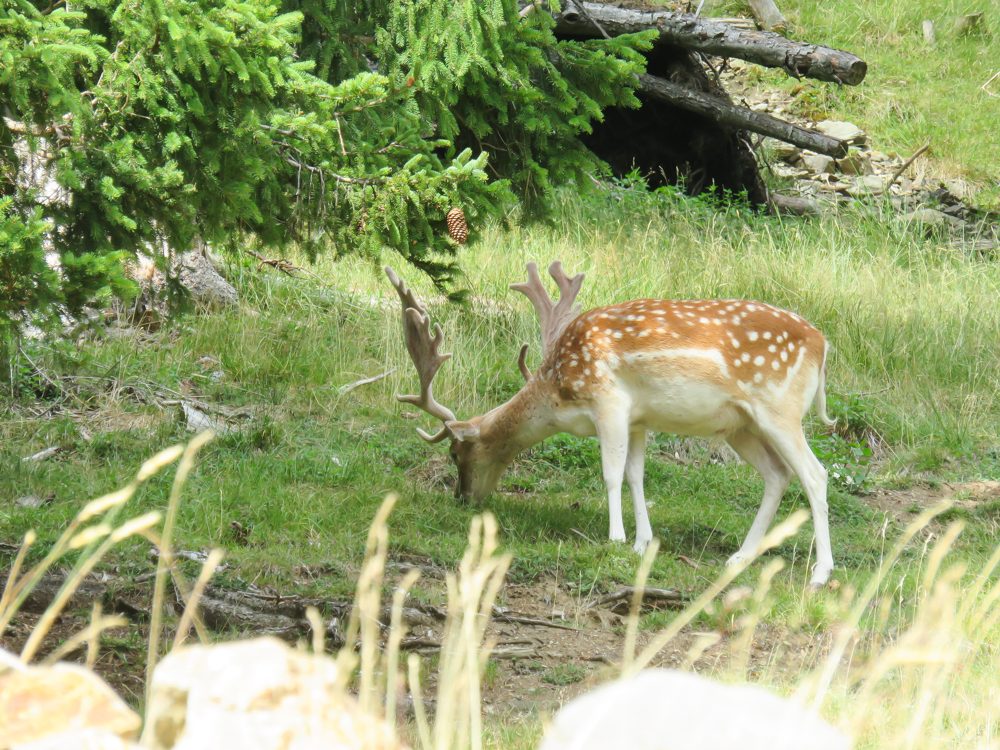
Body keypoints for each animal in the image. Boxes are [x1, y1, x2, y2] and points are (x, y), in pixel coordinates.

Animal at [386, 262, 840, 588]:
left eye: (454, 451)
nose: (463, 497)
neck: (559, 390)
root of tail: (823, 346)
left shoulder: (608, 402)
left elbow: (611, 473)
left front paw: (616, 538)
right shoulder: (638, 418)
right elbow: (636, 474)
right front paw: (642, 542)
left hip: (779, 409)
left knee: (815, 474)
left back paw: (820, 574)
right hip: (741, 426)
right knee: (778, 475)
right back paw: (741, 556)